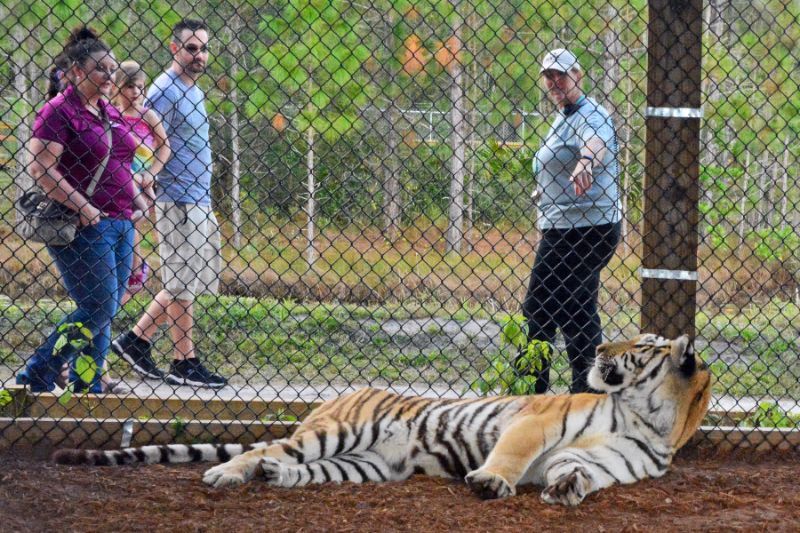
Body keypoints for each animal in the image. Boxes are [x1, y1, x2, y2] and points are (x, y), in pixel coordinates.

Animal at [53, 333, 711, 506]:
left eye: (641, 346)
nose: (599, 350)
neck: (647, 421)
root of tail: (328, 400)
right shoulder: (535, 423)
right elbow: (513, 453)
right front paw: (491, 482)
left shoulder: (603, 458)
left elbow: (582, 472)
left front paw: (567, 490)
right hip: (341, 430)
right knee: (261, 449)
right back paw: (228, 476)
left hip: (366, 463)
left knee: (291, 465)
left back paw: (274, 479)